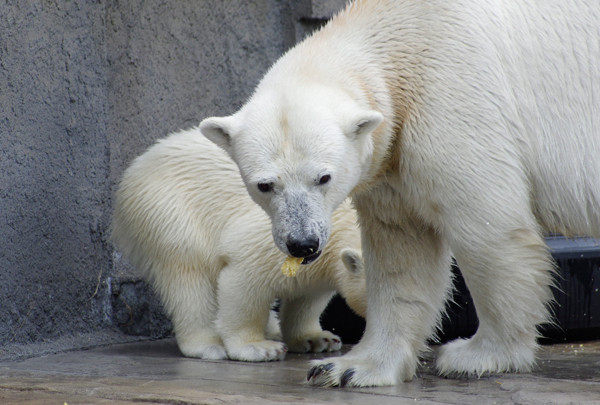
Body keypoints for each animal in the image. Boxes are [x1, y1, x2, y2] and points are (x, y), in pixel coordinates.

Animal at [199, 0, 596, 386]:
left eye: (324, 178)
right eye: (264, 185)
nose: (302, 243)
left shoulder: (455, 101)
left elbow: (488, 229)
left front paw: (477, 355)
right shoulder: (392, 158)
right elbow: (402, 251)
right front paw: (348, 368)